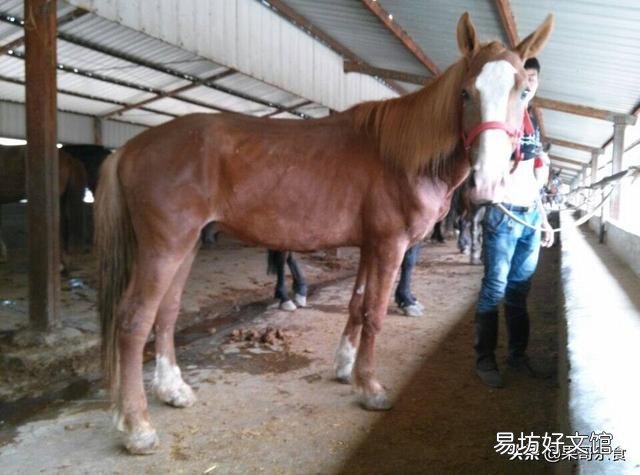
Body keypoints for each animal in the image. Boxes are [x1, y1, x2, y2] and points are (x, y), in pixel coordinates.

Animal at [94, 12, 553, 454]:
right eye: (465, 93)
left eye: (523, 93)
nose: (488, 184)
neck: (400, 156)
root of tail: (129, 148)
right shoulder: (390, 245)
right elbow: (375, 313)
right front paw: (370, 387)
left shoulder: (371, 245)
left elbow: (357, 304)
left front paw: (346, 367)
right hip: (164, 247)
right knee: (134, 321)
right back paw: (137, 426)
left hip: (187, 245)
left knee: (166, 313)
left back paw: (172, 390)